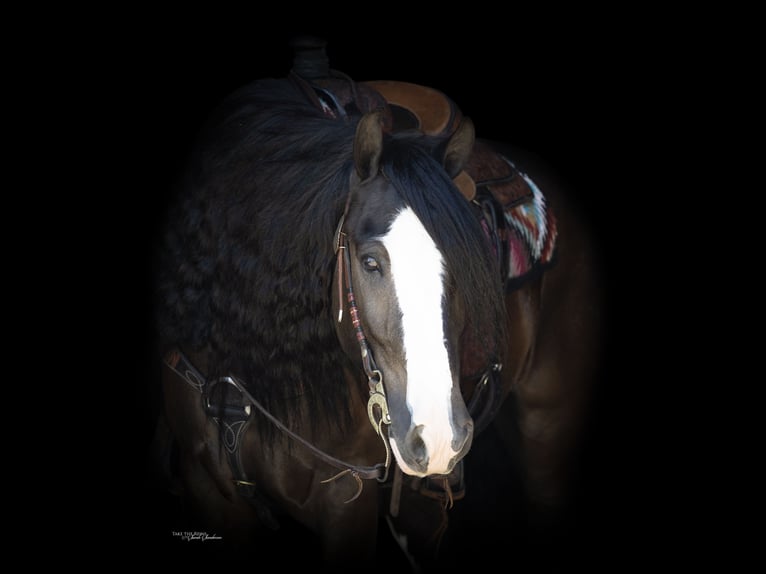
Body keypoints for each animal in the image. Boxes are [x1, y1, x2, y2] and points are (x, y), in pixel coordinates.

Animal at [153, 53, 604, 572]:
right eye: (370, 262)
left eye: (468, 260)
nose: (438, 437)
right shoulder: (207, 488)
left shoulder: (345, 500)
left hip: (550, 423)